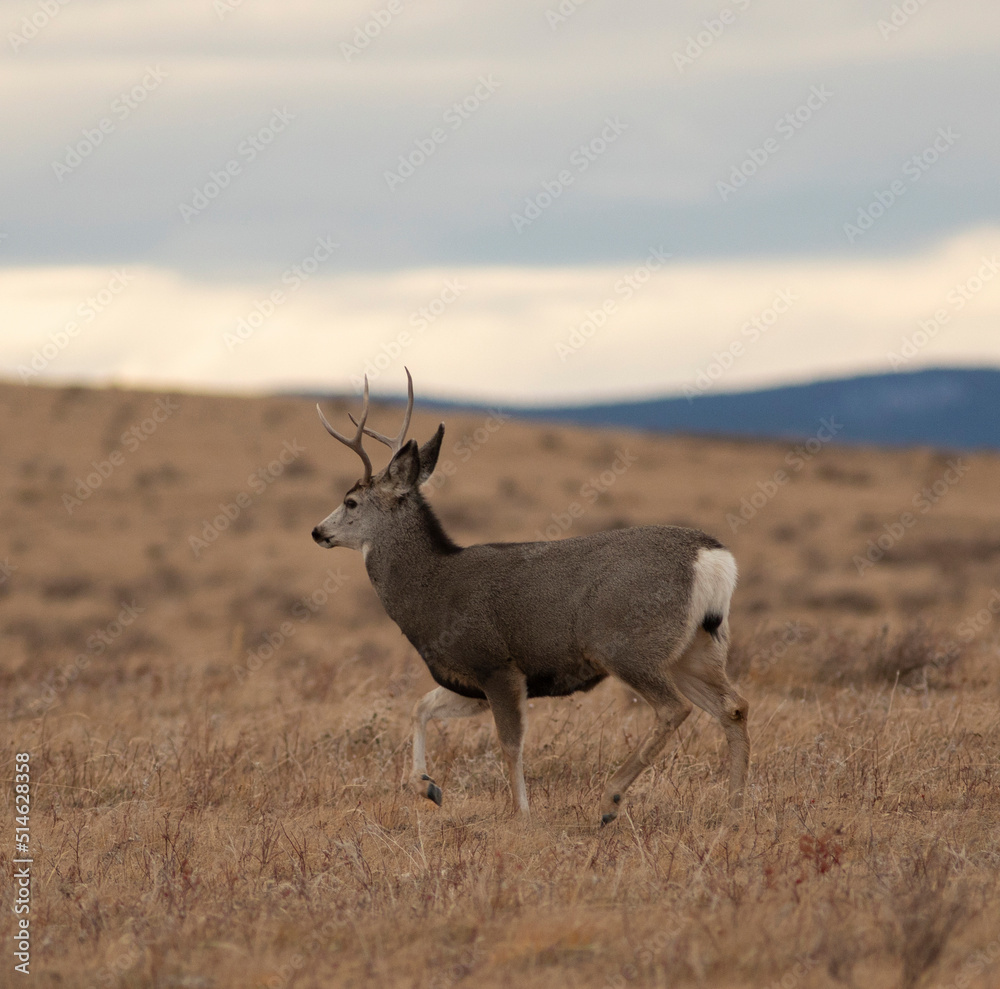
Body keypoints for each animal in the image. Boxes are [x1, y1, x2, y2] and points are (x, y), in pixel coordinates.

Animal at [311, 370, 749, 825]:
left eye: (350, 501)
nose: (317, 531)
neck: (431, 588)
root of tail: (714, 559)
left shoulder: (496, 663)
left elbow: (509, 744)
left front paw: (521, 812)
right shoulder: (470, 680)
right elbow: (421, 706)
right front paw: (428, 787)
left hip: (629, 645)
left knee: (674, 709)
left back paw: (610, 800)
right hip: (696, 648)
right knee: (734, 707)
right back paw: (733, 808)